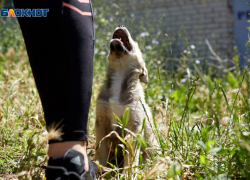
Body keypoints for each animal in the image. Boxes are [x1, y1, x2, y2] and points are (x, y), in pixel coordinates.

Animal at [94, 25, 158, 169]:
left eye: (136, 43)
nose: (121, 25)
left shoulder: (134, 125)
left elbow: (131, 154)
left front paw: (129, 171)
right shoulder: (101, 120)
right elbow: (101, 147)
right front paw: (98, 166)